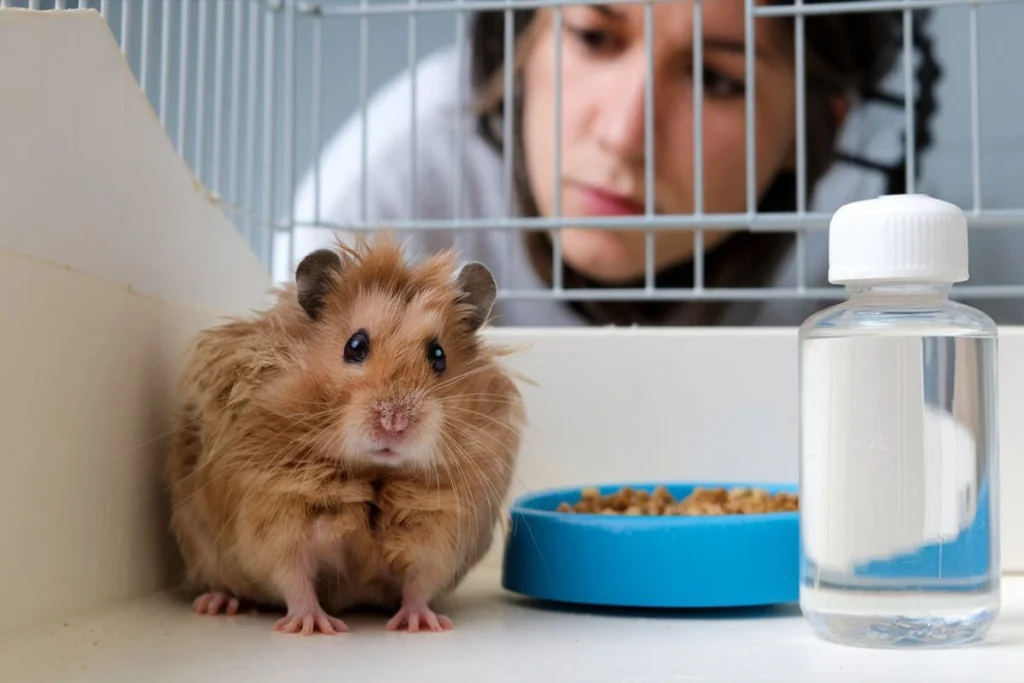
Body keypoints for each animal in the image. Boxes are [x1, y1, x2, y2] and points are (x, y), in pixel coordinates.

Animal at [165, 235, 528, 634]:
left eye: (438, 355)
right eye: (355, 346)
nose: (394, 423)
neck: (374, 473)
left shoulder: (440, 530)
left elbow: (419, 582)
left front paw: (421, 624)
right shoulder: (275, 518)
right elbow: (293, 576)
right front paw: (315, 626)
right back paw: (217, 604)